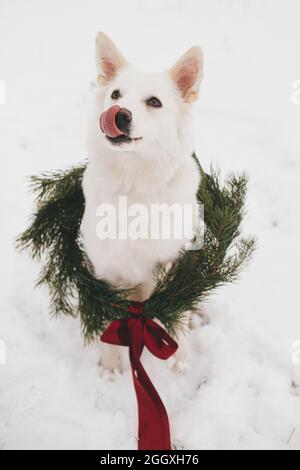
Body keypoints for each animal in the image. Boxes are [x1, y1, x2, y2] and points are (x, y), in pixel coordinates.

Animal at [81, 33, 204, 370]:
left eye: (154, 102)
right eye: (115, 94)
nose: (119, 113)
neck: (133, 185)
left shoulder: (170, 262)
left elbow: (176, 309)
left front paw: (180, 357)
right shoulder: (108, 270)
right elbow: (111, 315)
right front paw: (111, 365)